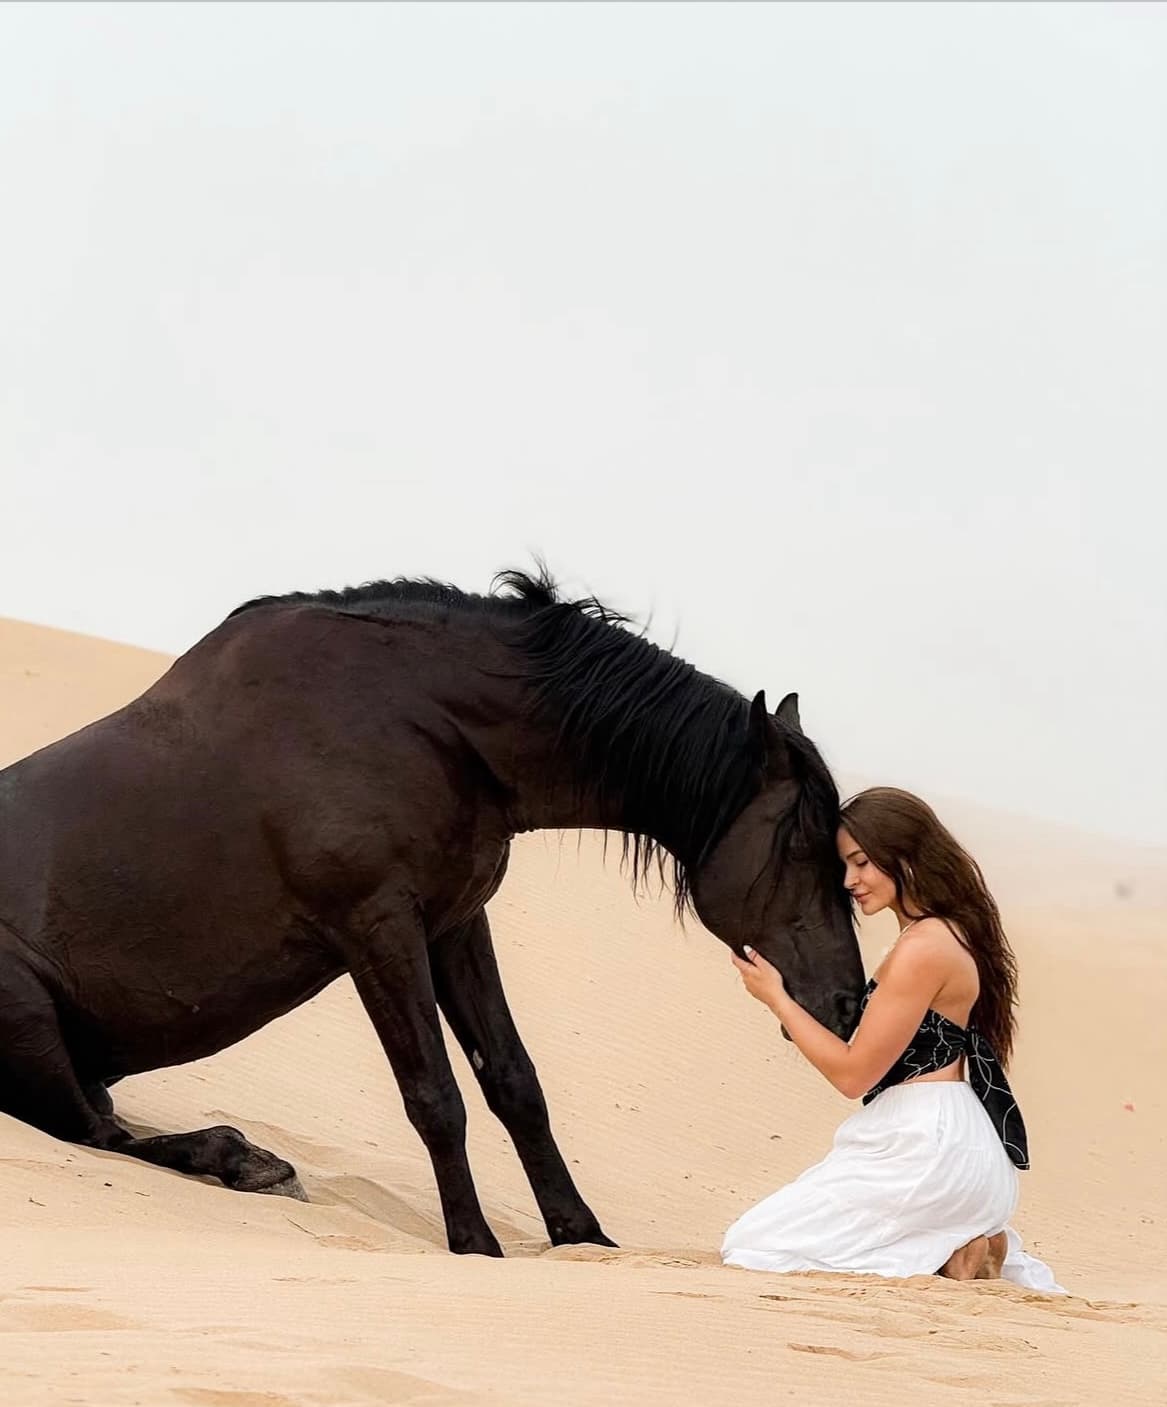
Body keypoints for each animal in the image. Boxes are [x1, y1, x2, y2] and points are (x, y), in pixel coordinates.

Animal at [0, 568, 864, 1255]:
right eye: (800, 844)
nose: (850, 1003)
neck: (421, 722)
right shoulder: (377, 928)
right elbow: (435, 1097)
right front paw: (475, 1244)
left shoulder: (455, 922)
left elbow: (514, 1083)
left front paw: (582, 1236)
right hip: (32, 1023)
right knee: (97, 1133)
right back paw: (241, 1159)